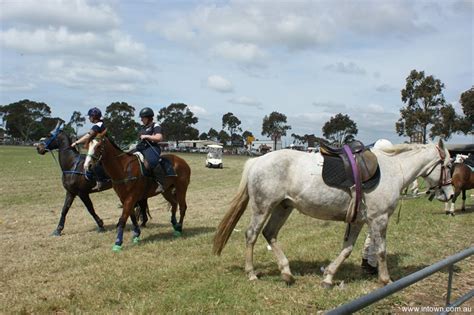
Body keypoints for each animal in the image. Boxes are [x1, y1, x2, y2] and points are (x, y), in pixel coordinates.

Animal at [213, 139, 454, 288]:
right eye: (450, 165)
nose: (451, 194)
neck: (393, 170)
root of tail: (257, 160)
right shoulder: (379, 219)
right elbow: (382, 251)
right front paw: (386, 280)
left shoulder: (358, 221)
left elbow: (346, 250)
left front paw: (328, 277)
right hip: (263, 208)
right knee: (252, 235)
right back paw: (252, 273)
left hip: (283, 207)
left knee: (270, 234)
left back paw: (287, 273)